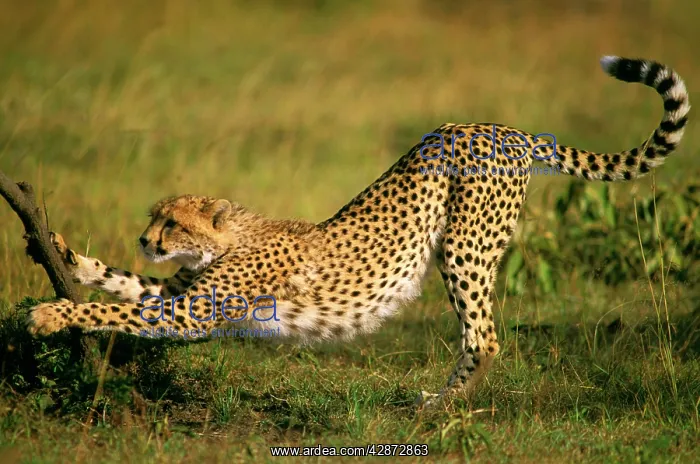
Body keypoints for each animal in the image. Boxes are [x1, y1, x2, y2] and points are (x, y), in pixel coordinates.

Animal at [27, 56, 690, 407]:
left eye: (171, 223)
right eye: (153, 220)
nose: (148, 241)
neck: (228, 236)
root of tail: (500, 127)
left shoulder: (192, 311)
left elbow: (111, 310)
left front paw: (49, 314)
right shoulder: (180, 293)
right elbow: (119, 283)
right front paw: (58, 248)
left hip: (462, 243)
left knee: (485, 337)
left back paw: (437, 408)